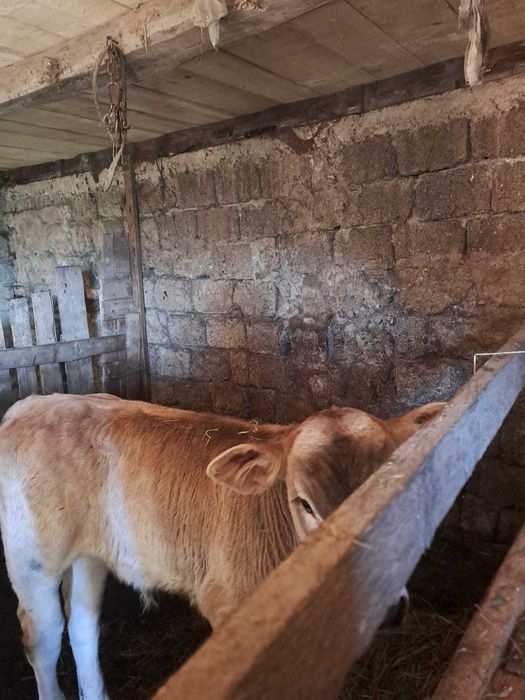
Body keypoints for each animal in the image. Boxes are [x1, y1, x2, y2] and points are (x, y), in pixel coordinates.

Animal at [0, 393, 444, 700]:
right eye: (303, 502)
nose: (382, 597)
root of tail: (29, 406)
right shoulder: (227, 603)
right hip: (32, 559)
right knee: (44, 636)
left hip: (88, 554)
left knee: (82, 625)